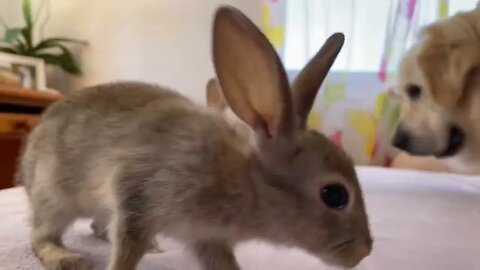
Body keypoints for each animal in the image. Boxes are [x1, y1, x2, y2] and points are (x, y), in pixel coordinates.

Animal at [17, 4, 372, 270]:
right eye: (335, 195)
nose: (364, 251)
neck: (244, 179)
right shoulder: (137, 198)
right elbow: (127, 250)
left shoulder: (207, 237)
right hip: (54, 197)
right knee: (41, 234)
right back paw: (65, 258)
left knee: (95, 226)